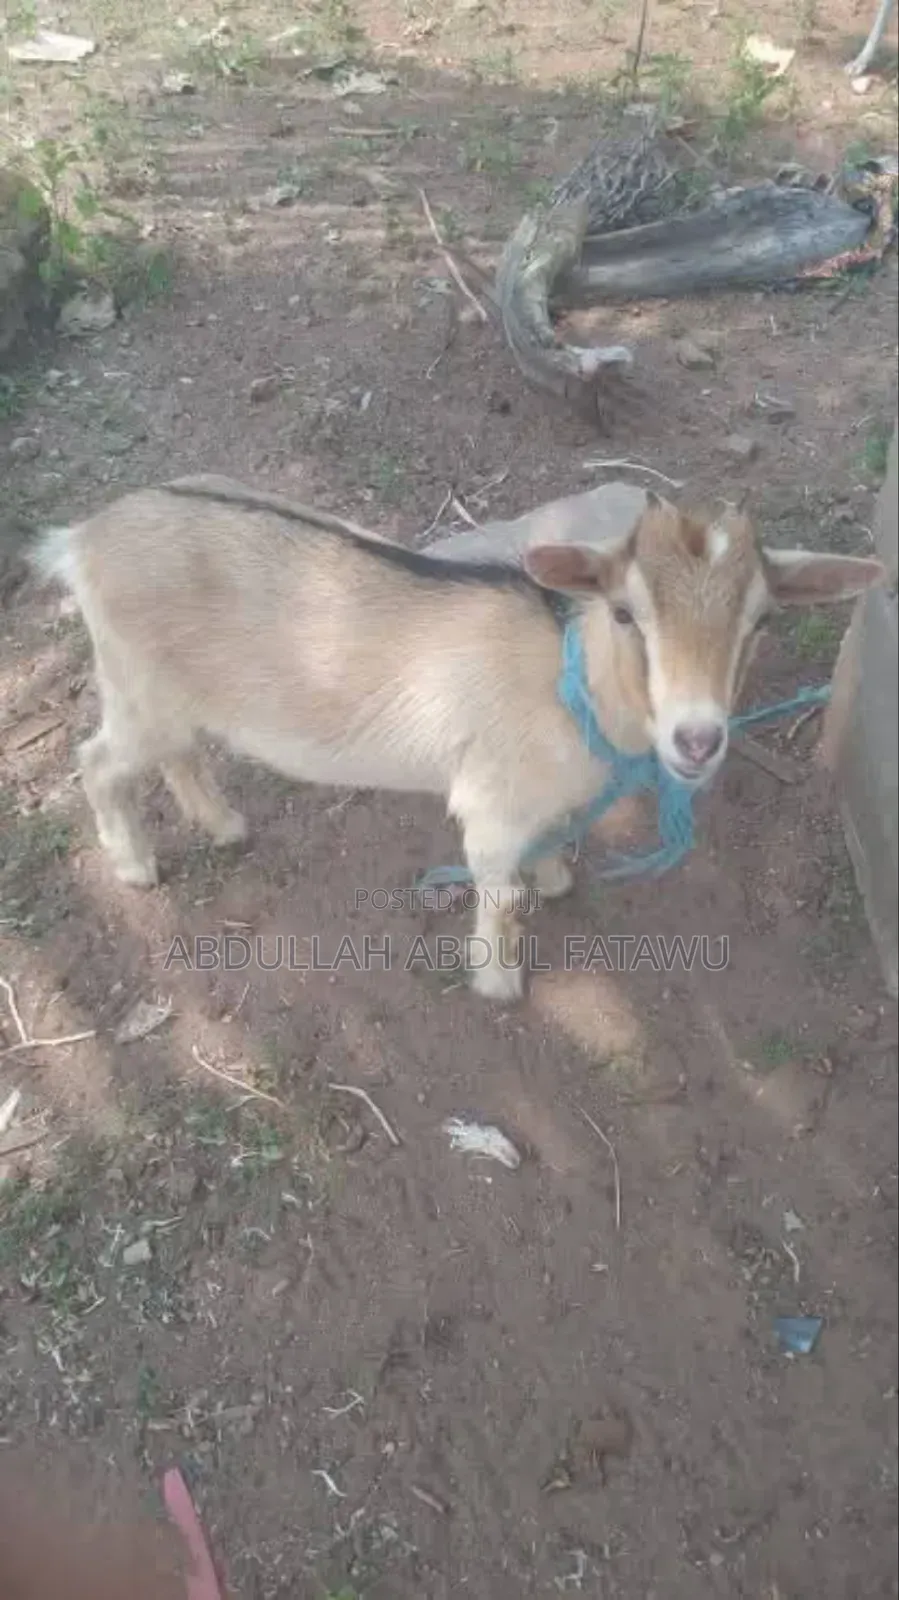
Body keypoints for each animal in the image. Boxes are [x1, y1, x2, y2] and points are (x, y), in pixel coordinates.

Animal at [30, 474, 884, 1002]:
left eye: (761, 619)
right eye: (624, 612)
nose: (698, 739)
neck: (572, 688)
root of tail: (81, 540)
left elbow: (549, 849)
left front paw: (557, 881)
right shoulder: (491, 805)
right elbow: (499, 895)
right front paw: (499, 983)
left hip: (168, 695)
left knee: (176, 754)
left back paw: (225, 826)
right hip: (135, 688)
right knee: (97, 763)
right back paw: (135, 866)